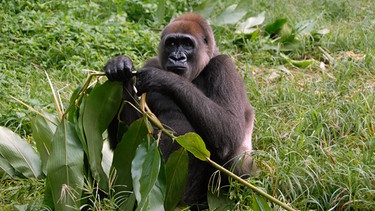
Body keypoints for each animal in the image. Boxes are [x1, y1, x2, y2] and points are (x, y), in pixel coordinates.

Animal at [105, 12, 256, 208]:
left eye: (187, 44)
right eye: (171, 43)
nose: (177, 58)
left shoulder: (223, 66)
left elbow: (230, 131)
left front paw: (164, 78)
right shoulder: (151, 62)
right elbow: (128, 138)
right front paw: (121, 69)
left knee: (236, 160)